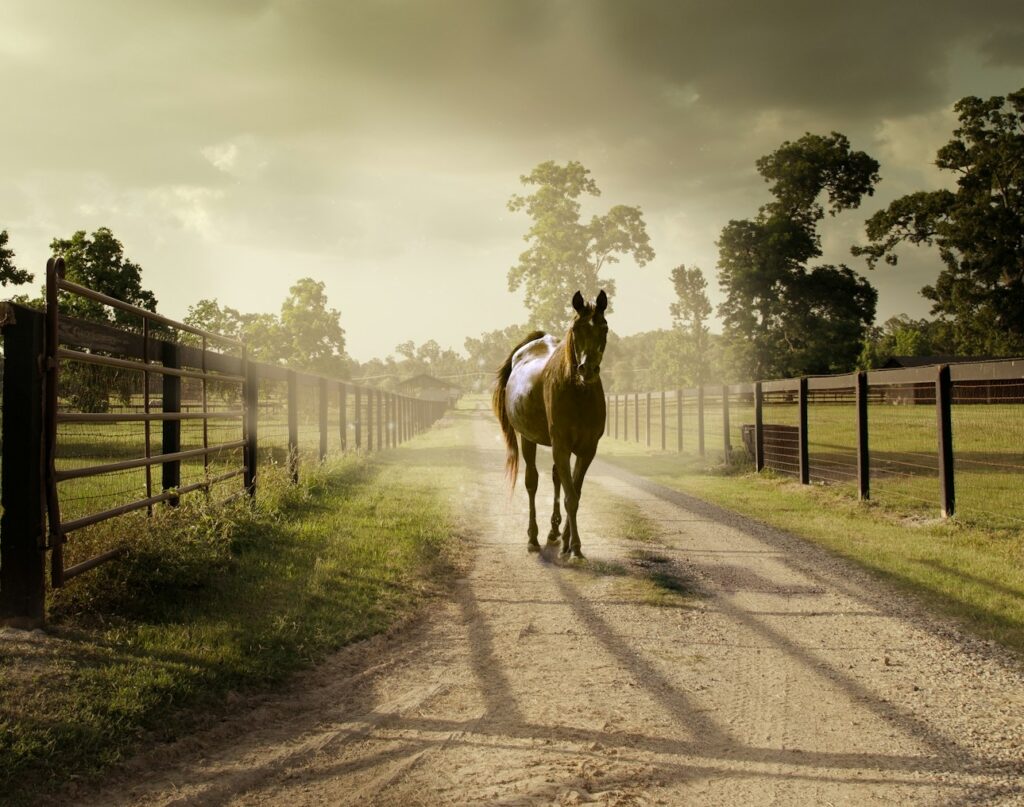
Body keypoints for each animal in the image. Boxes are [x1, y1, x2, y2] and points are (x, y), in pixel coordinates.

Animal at [492, 290, 608, 558]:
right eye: (576, 328)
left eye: (604, 327)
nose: (587, 369)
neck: (578, 394)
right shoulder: (561, 447)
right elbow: (571, 497)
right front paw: (575, 548)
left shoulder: (587, 450)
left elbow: (574, 492)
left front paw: (567, 542)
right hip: (528, 440)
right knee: (532, 483)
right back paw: (533, 538)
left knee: (556, 479)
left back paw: (553, 533)